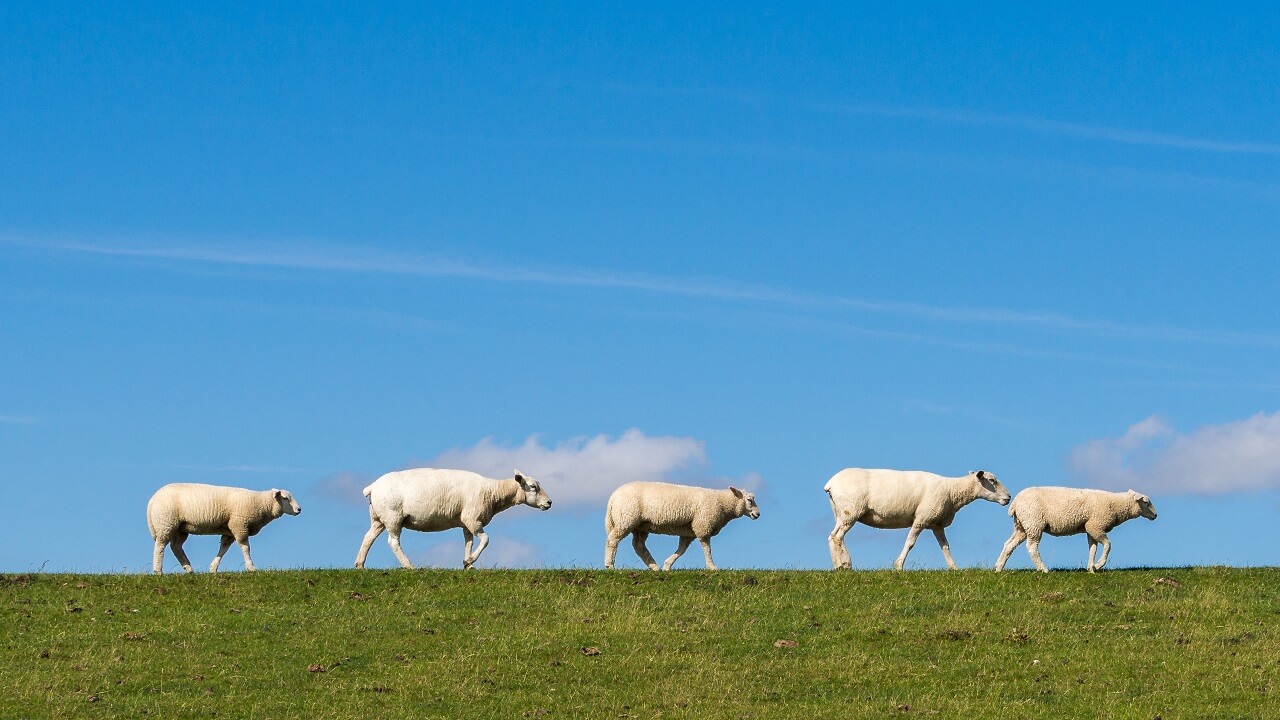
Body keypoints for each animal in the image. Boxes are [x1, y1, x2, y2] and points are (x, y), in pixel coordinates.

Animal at [146, 479, 303, 573]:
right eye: (285, 498)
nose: (299, 509)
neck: (260, 503)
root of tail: (152, 500)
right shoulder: (239, 525)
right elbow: (245, 548)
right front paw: (251, 567)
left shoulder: (229, 530)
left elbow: (224, 548)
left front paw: (213, 568)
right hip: (166, 523)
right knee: (160, 546)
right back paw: (158, 570)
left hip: (181, 528)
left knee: (176, 547)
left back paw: (189, 569)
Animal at [355, 468, 550, 568]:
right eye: (533, 487)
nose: (549, 502)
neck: (493, 492)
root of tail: (372, 487)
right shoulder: (472, 518)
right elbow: (486, 540)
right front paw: (469, 561)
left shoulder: (466, 523)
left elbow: (469, 542)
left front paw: (468, 565)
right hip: (393, 516)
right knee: (393, 542)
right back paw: (409, 566)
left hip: (379, 518)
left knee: (368, 538)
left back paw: (360, 564)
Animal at [601, 479, 757, 568]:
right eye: (749, 500)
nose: (758, 514)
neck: (723, 503)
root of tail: (613, 497)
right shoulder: (702, 525)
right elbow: (707, 548)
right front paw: (712, 567)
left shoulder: (689, 531)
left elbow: (682, 549)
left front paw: (667, 565)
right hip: (626, 519)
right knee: (612, 540)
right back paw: (610, 565)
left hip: (640, 525)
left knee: (638, 546)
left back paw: (654, 567)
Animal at [824, 468, 1013, 568]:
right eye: (992, 480)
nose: (1009, 497)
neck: (952, 491)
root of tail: (830, 483)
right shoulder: (921, 519)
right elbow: (910, 543)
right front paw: (899, 565)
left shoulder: (936, 524)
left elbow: (945, 547)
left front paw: (954, 568)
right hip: (851, 510)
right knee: (838, 537)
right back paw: (844, 565)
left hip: (840, 513)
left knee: (832, 536)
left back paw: (839, 565)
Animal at [988, 481, 1162, 571]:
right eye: (1146, 502)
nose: (1155, 515)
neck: (1115, 505)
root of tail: (1015, 502)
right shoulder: (1096, 525)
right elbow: (1108, 545)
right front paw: (1099, 565)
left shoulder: (1090, 528)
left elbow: (1093, 548)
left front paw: (1091, 568)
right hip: (1034, 523)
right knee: (1032, 547)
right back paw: (1043, 569)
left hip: (1023, 526)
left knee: (1009, 544)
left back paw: (999, 567)